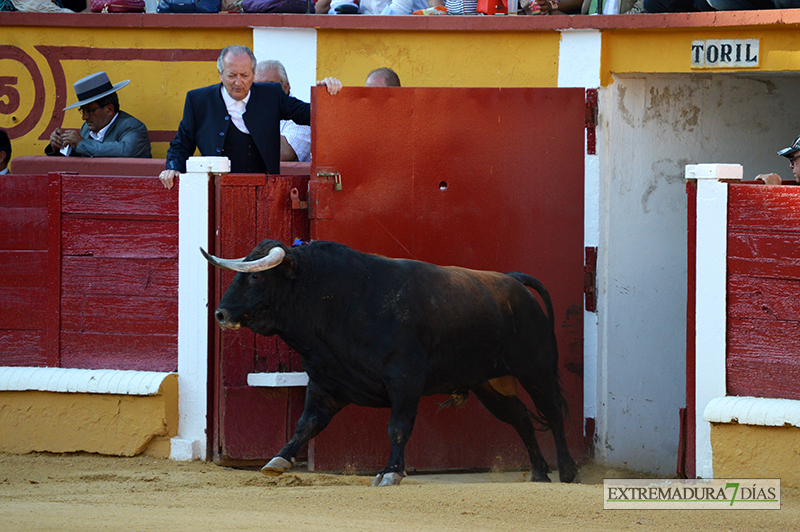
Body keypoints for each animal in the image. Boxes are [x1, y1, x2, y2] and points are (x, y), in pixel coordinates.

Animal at [200, 241, 576, 486]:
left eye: (255, 277)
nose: (221, 314)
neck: (336, 297)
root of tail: (513, 281)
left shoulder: (405, 381)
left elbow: (398, 427)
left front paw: (391, 471)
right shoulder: (326, 382)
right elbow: (306, 424)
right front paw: (278, 460)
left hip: (536, 369)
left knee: (553, 414)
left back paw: (569, 471)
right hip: (489, 384)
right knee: (521, 419)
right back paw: (539, 473)